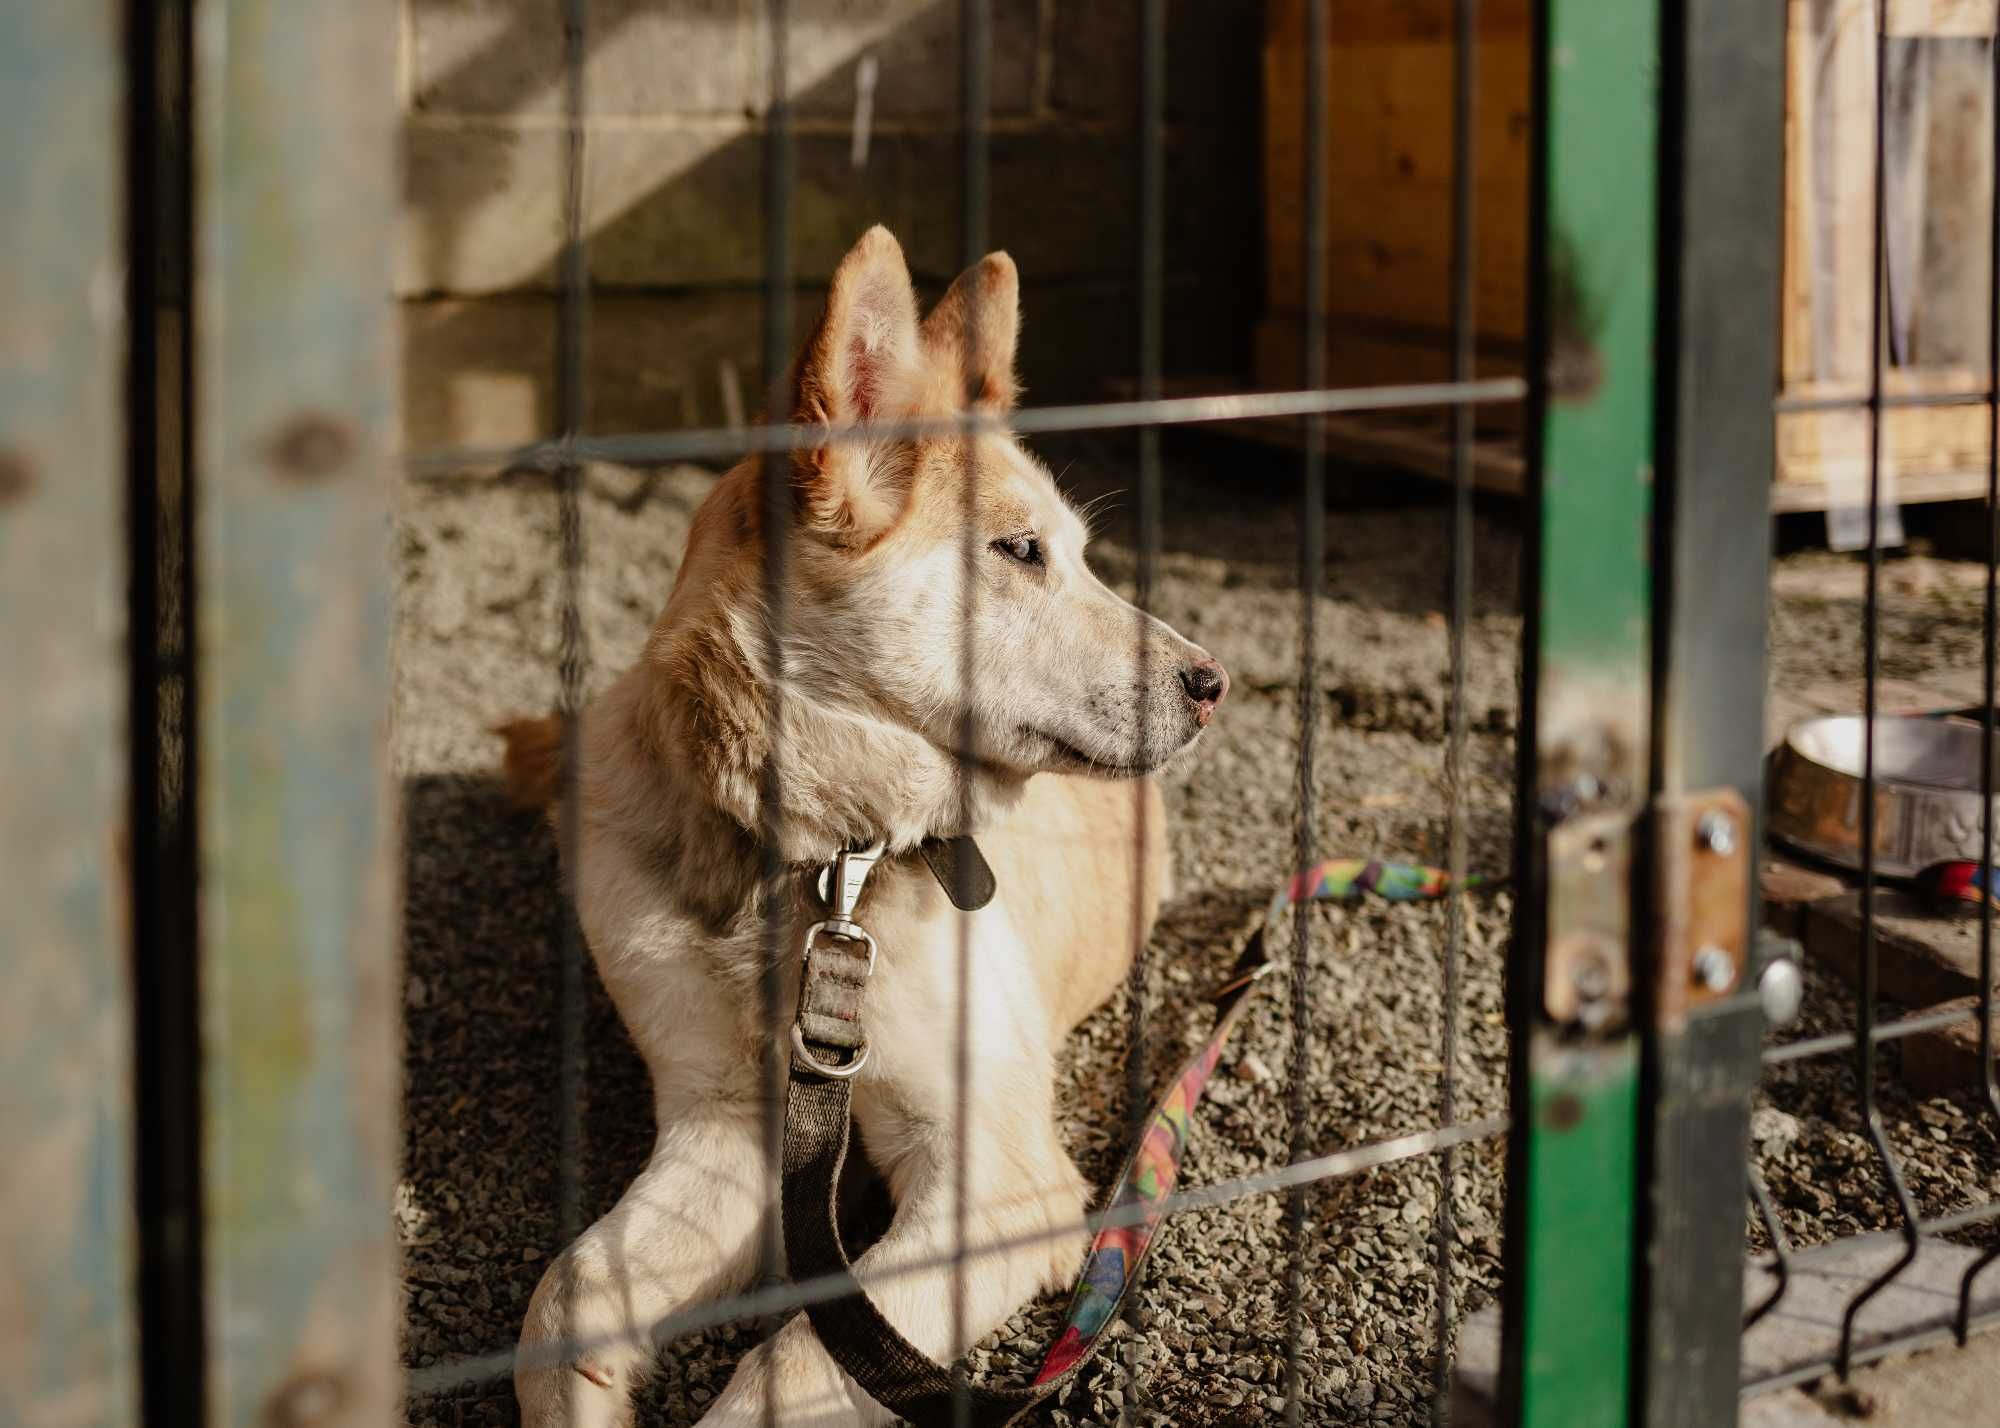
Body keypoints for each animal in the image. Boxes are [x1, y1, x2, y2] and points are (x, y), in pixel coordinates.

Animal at [508, 228, 1224, 1416]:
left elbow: (798, 1360)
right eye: (1021, 552)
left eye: (1080, 553)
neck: (820, 862)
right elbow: (565, 1297)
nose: (1212, 683)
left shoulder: (997, 1180)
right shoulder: (723, 1128)